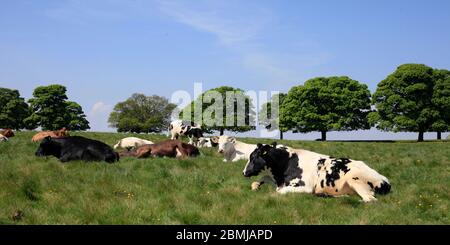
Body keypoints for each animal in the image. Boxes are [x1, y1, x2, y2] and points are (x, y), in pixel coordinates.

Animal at [243, 143, 390, 202]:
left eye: (253, 157)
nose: (244, 172)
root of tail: (385, 180)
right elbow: (263, 177)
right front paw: (256, 185)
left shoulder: (304, 186)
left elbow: (279, 192)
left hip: (354, 179)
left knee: (369, 199)